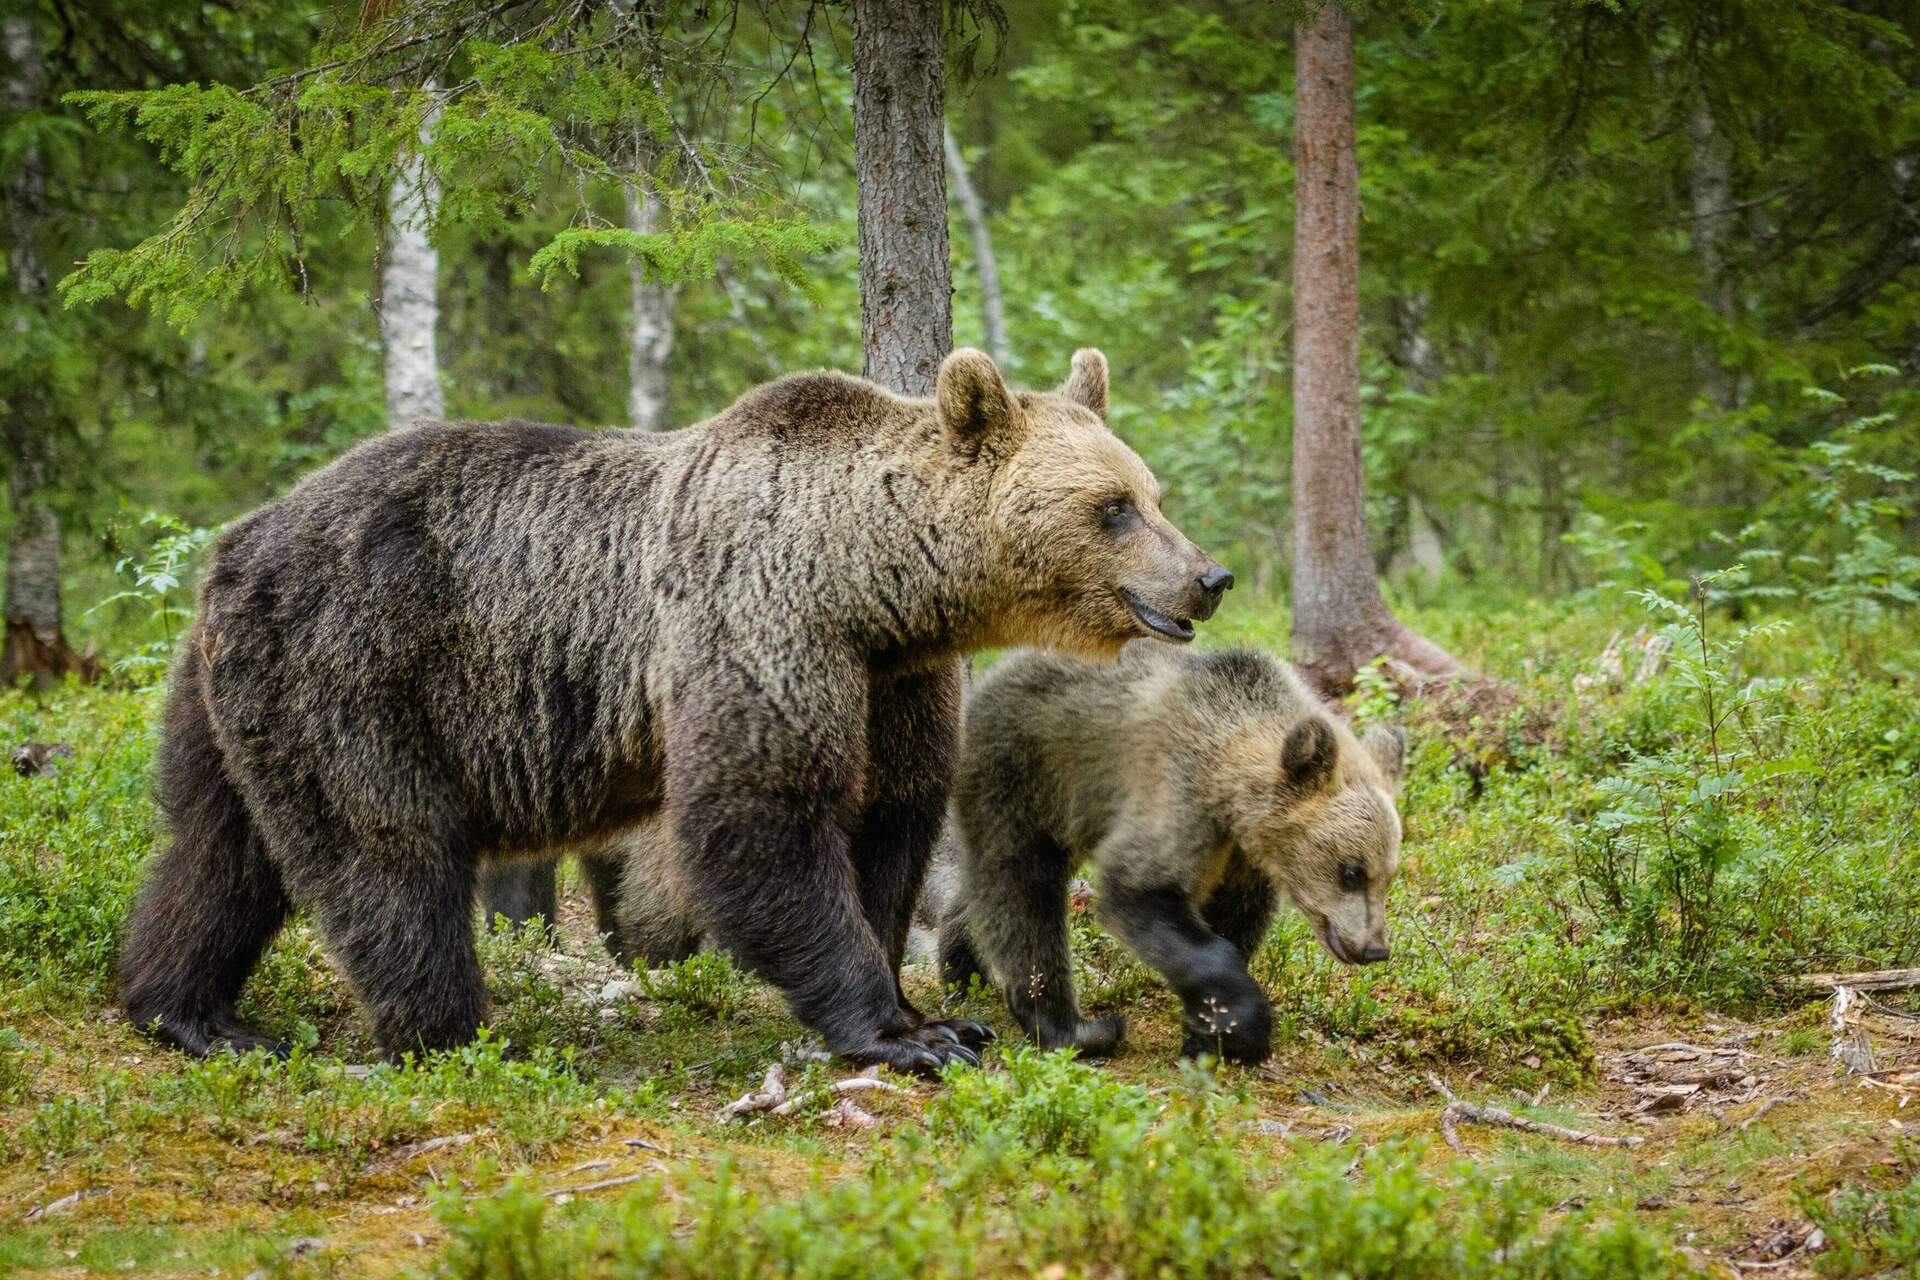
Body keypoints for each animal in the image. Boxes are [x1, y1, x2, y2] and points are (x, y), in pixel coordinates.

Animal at [120, 347, 1228, 1074]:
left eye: (1152, 492)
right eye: (1113, 508)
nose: (1208, 576)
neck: (869, 581)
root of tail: (234, 542)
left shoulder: (892, 679)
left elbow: (889, 822)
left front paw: (934, 1008)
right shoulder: (761, 620)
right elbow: (762, 818)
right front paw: (908, 1032)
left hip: (230, 695)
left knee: (217, 851)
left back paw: (191, 1012)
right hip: (359, 668)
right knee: (386, 853)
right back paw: (454, 1031)